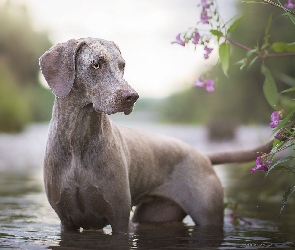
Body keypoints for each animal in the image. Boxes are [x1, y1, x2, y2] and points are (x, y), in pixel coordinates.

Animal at [40, 37, 276, 234]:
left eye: (122, 65)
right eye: (96, 64)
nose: (132, 96)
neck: (77, 140)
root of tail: (203, 156)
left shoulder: (120, 219)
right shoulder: (67, 222)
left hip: (208, 215)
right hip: (154, 215)